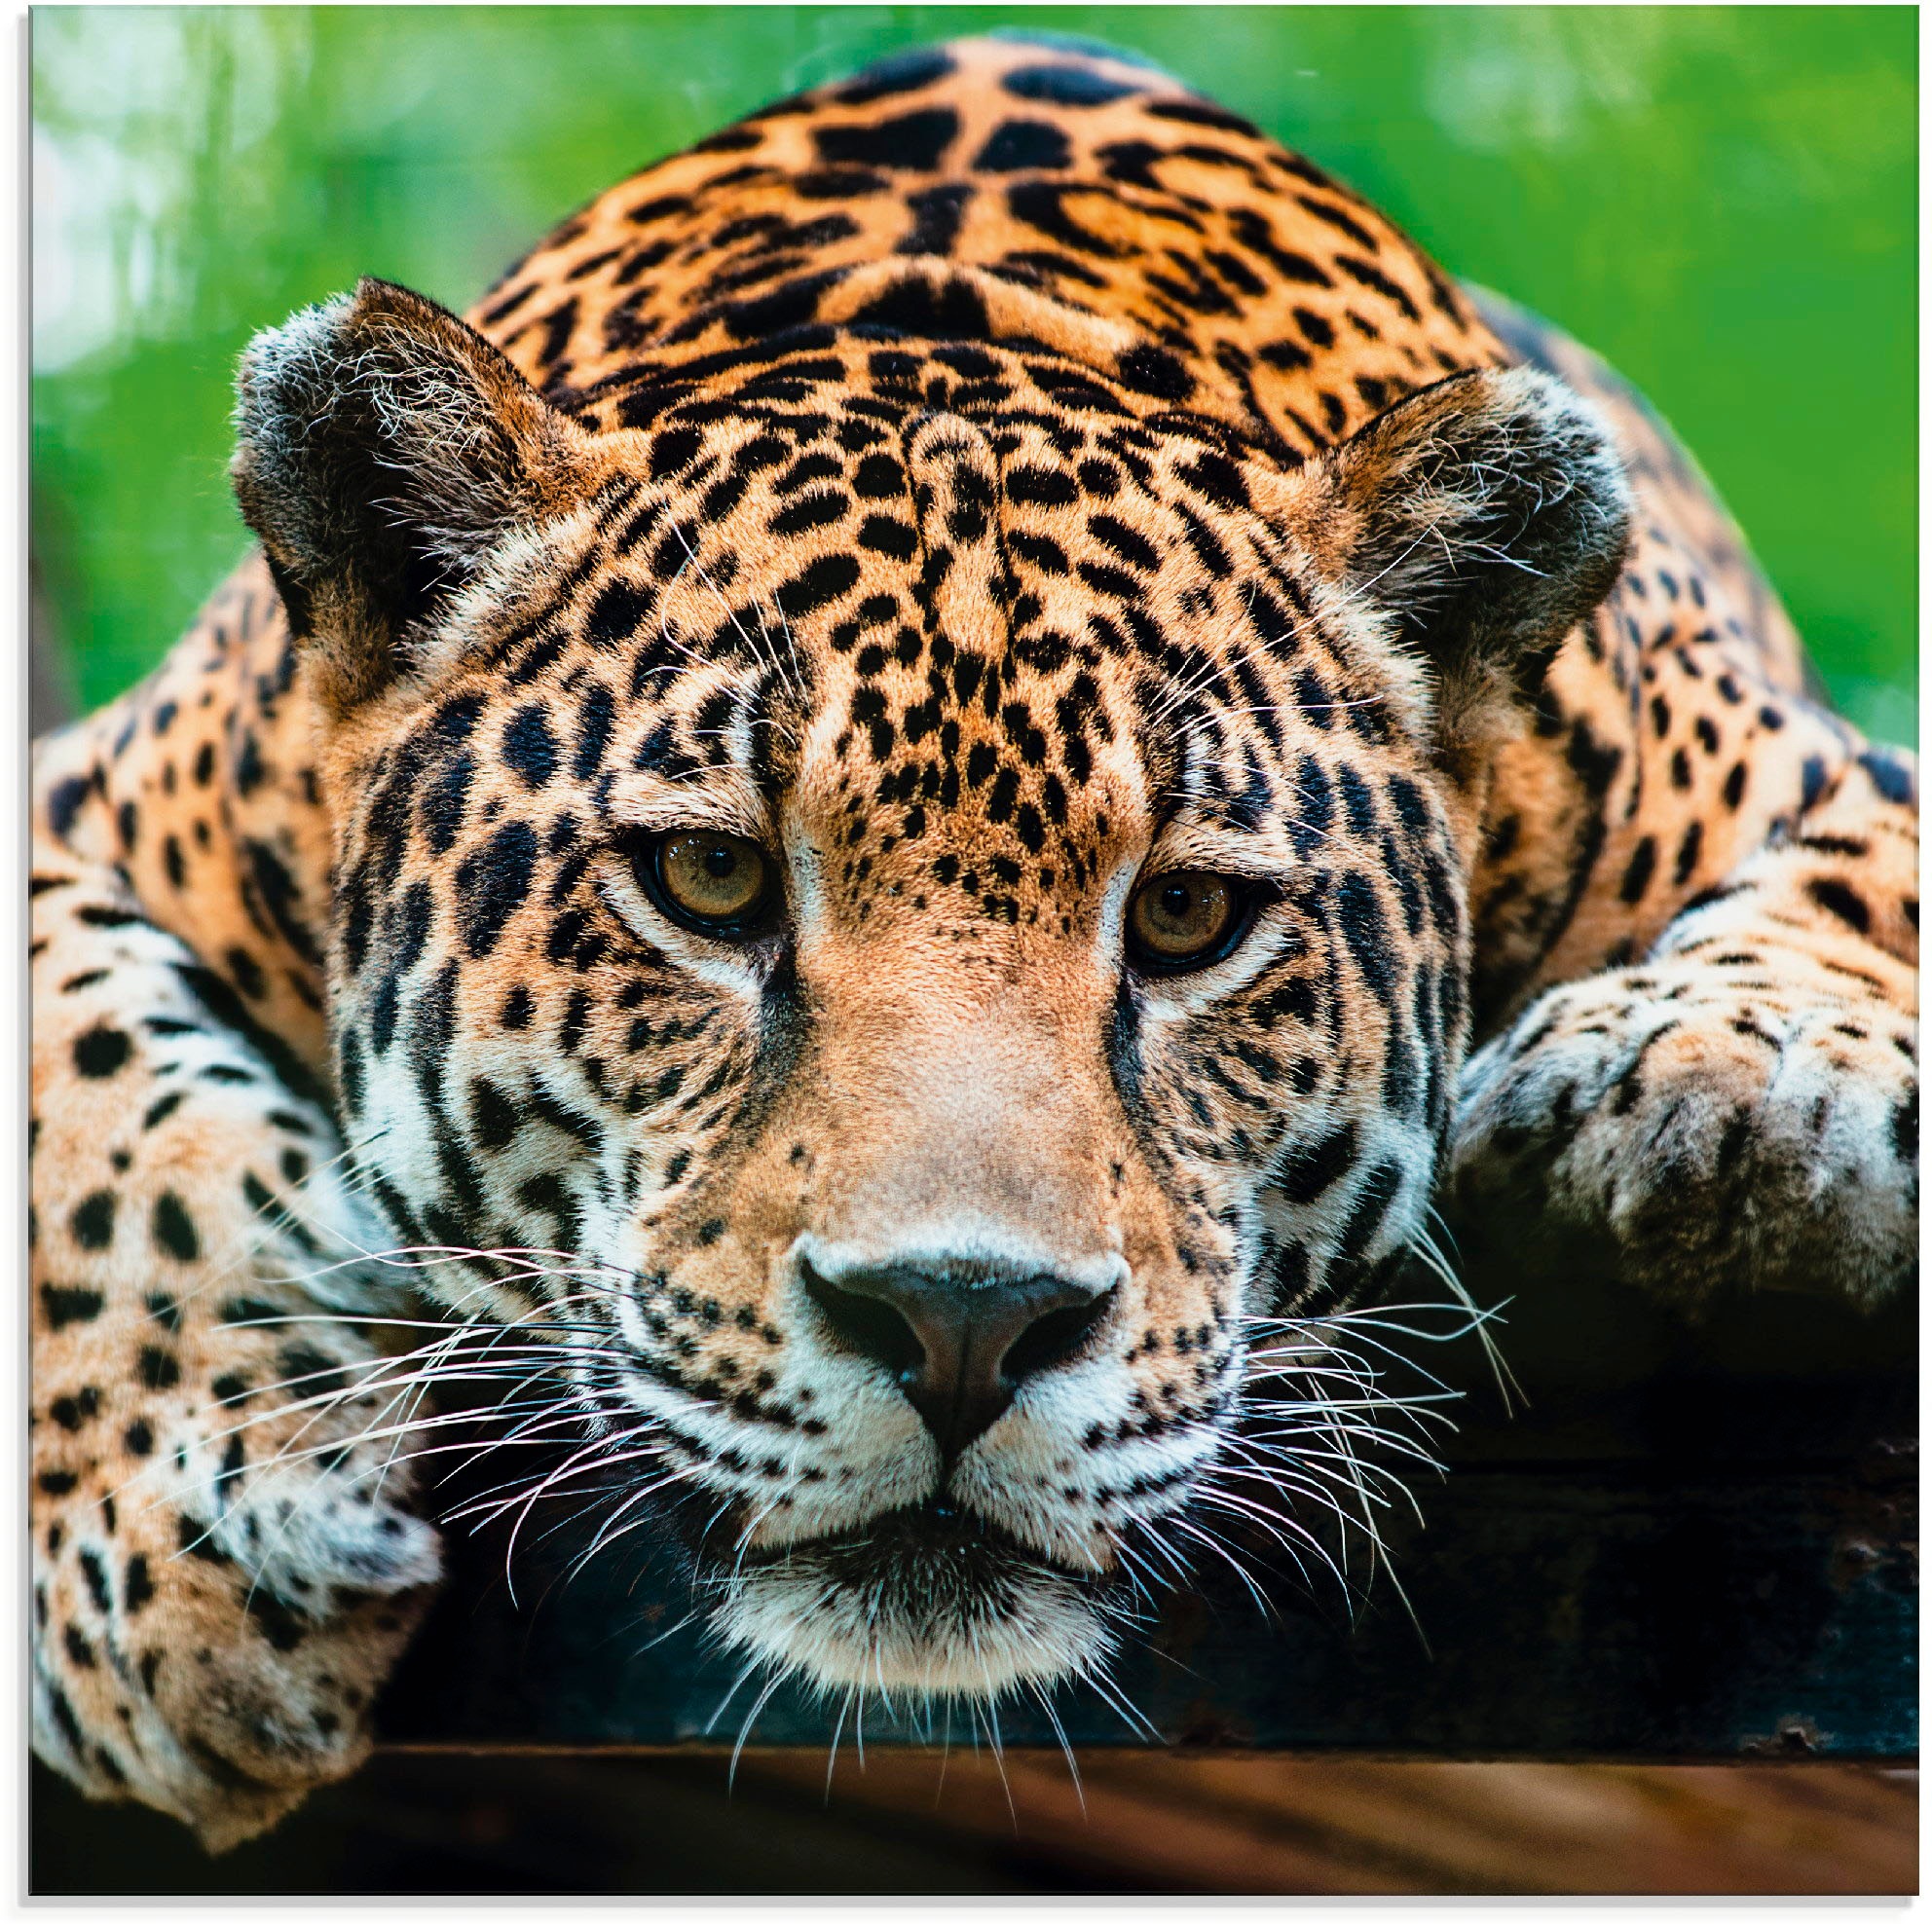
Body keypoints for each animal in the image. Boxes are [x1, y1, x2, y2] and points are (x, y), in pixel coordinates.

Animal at [30, 34, 1916, 1849]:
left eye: (1185, 915)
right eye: (707, 881)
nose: (958, 1325)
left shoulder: (1817, 769)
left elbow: (1855, 895)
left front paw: (1715, 1078)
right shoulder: (86, 801)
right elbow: (91, 1095)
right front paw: (191, 1540)